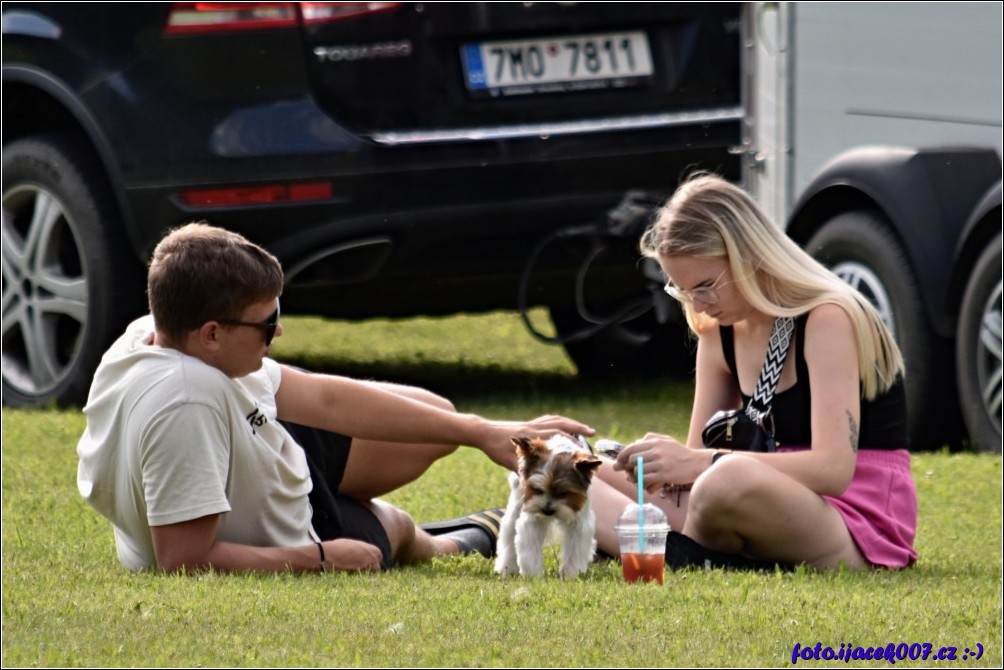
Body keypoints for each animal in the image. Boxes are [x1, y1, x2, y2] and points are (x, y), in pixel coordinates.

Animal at [491, 435, 594, 578]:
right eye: (537, 489)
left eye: (564, 493)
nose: (547, 510)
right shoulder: (533, 517)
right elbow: (530, 546)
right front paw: (533, 575)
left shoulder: (578, 522)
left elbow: (575, 549)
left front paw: (570, 575)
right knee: (510, 532)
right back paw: (507, 568)